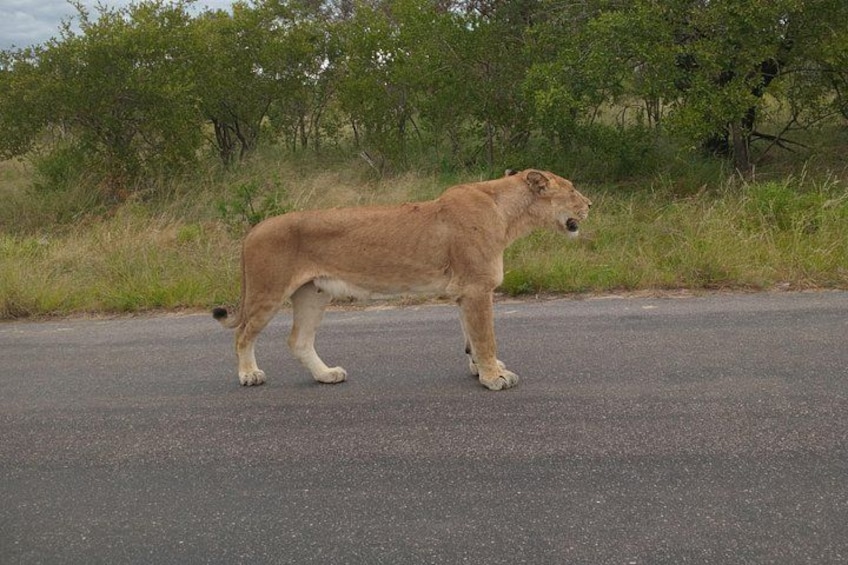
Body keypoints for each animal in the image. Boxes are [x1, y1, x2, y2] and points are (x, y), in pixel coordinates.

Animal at [213, 169, 591, 391]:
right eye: (572, 188)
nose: (589, 204)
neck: (509, 214)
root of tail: (254, 229)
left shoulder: (465, 292)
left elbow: (470, 337)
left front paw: (483, 370)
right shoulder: (477, 287)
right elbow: (486, 337)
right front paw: (494, 378)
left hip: (313, 293)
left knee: (298, 341)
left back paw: (326, 375)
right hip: (268, 291)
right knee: (243, 334)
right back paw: (249, 375)